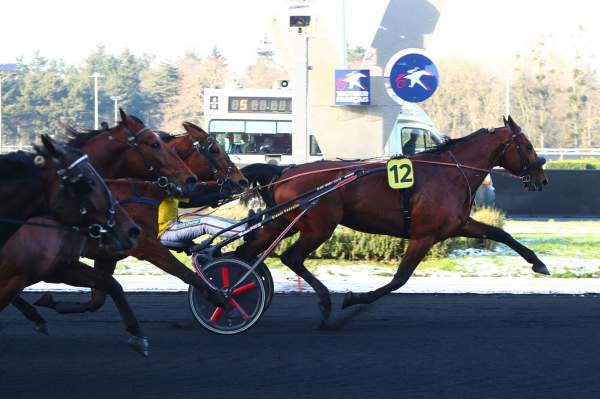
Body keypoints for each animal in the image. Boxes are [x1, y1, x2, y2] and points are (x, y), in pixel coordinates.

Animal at [0, 138, 150, 356]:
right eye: (86, 183)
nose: (131, 230)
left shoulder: (59, 266)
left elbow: (109, 282)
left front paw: (138, 335)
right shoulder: (19, 277)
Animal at [238, 116, 548, 324]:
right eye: (527, 145)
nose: (542, 179)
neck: (448, 172)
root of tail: (285, 172)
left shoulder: (458, 224)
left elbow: (499, 233)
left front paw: (538, 263)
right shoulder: (423, 236)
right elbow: (400, 278)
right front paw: (355, 299)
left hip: (281, 222)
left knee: (246, 251)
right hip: (319, 227)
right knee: (290, 257)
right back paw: (324, 302)